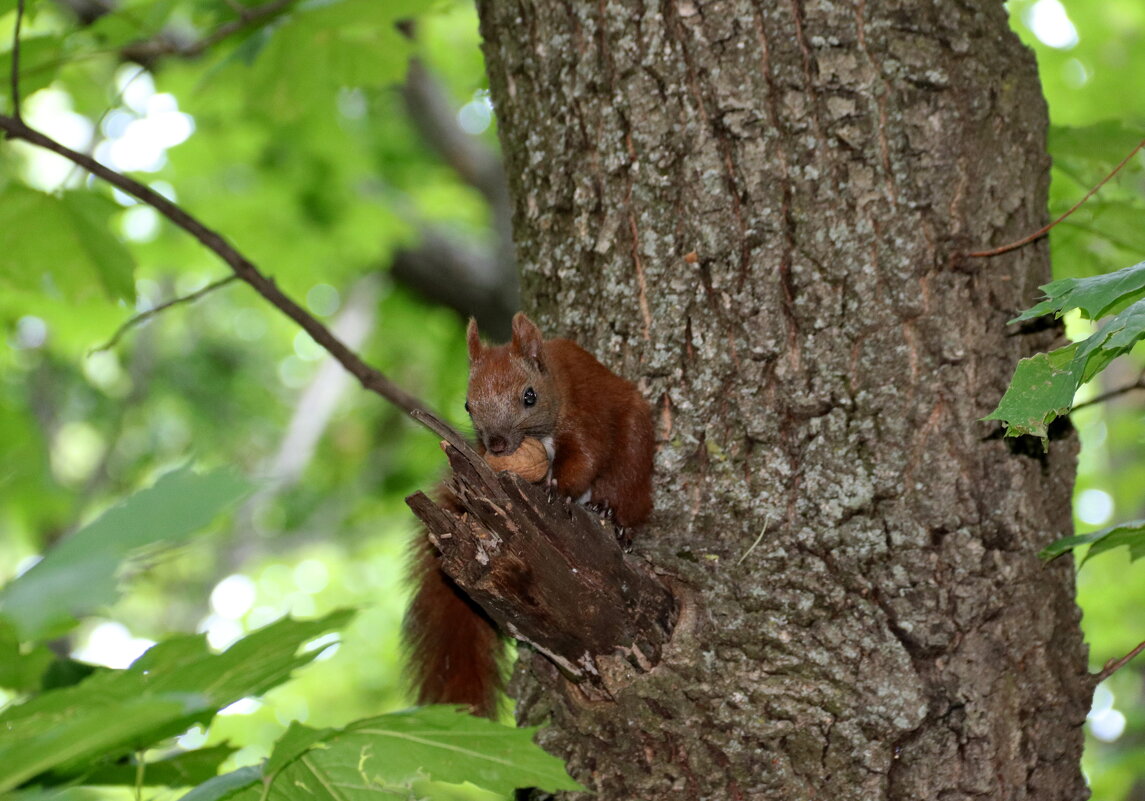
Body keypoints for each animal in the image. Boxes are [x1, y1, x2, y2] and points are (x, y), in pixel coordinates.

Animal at [403, 311, 654, 714]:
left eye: (529, 397)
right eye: (468, 406)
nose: (496, 445)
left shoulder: (584, 415)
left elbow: (584, 458)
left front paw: (558, 491)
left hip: (634, 447)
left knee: (627, 486)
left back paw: (615, 519)